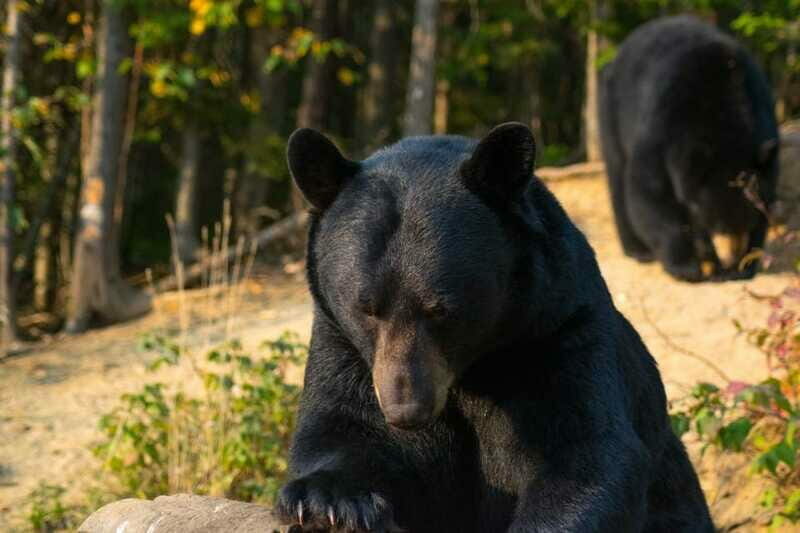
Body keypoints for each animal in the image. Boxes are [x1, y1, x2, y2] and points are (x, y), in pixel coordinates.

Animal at [275, 123, 713, 532]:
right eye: (365, 308)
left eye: (440, 309)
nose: (406, 409)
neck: (472, 370)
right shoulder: (341, 343)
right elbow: (340, 427)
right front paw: (328, 502)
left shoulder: (557, 331)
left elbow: (585, 452)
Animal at [598, 15, 780, 282]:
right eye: (718, 224)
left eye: (745, 222)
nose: (731, 259)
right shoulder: (663, 126)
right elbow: (649, 194)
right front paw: (689, 267)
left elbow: (765, 205)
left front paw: (745, 265)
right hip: (612, 110)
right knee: (618, 175)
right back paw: (638, 251)